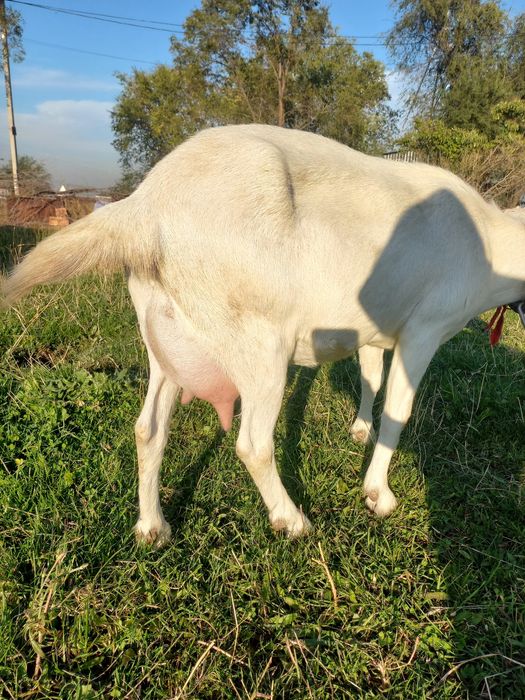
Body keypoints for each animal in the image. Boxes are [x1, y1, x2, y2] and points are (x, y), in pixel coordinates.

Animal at [2, 125, 524, 546]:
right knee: (252, 444)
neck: (492, 240)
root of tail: (144, 207)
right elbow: (400, 409)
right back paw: (290, 520)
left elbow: (371, 377)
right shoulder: (425, 328)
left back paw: (152, 527)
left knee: (148, 427)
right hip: (259, 345)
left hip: (165, 336)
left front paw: (360, 429)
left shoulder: (376, 326)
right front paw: (379, 494)